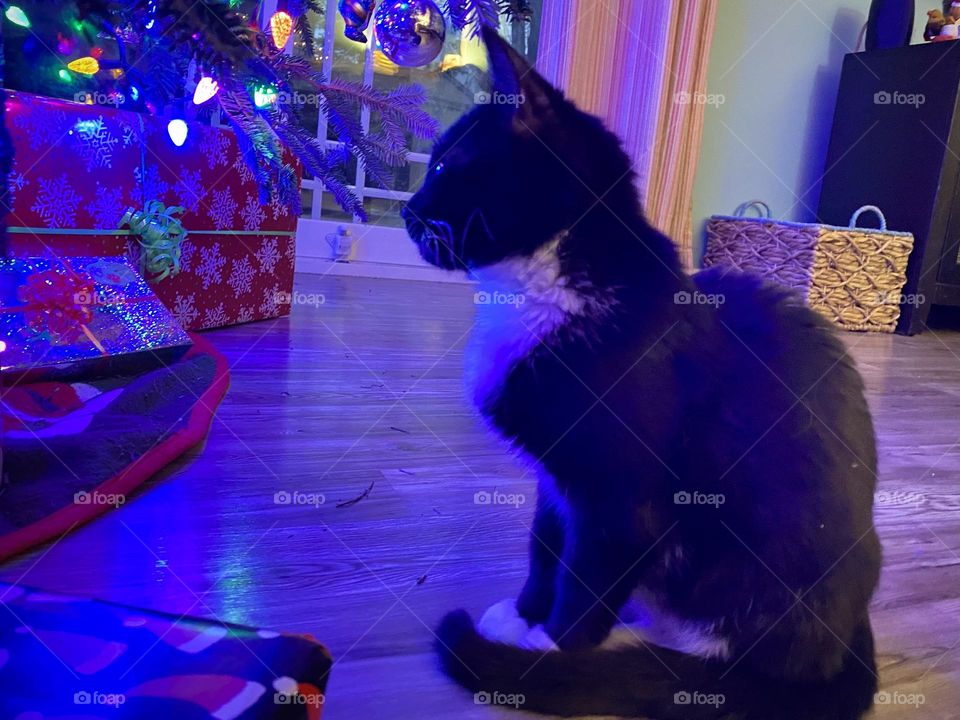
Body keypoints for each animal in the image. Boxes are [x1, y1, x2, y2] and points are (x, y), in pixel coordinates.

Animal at [402, 29, 880, 720]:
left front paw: (552, 650)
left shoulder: (621, 497)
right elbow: (546, 543)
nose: (407, 210)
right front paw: (524, 616)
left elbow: (586, 575)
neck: (547, 287)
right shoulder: (557, 479)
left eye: (444, 165)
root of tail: (846, 643)